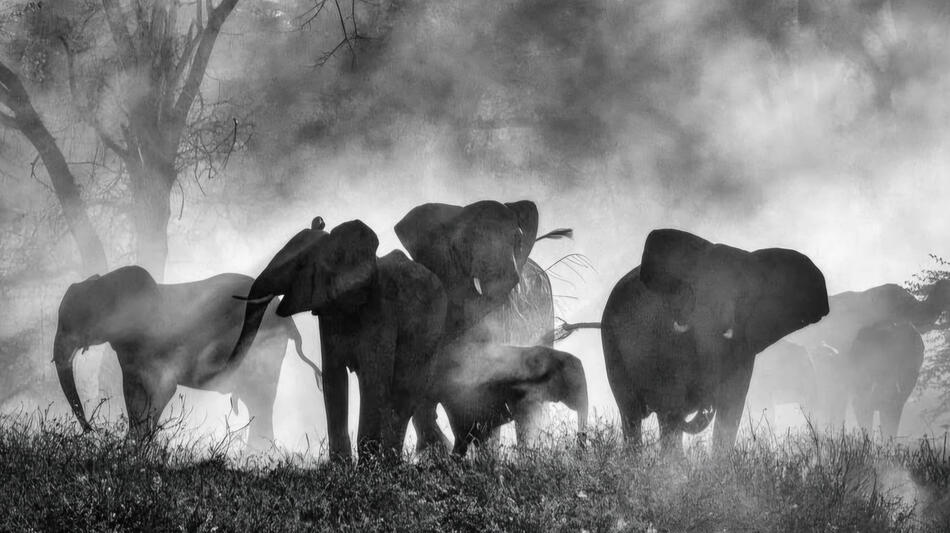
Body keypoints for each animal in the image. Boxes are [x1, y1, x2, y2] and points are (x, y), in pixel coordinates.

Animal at [53, 265, 319, 448]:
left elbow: (162, 390)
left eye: (76, 321)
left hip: (264, 348)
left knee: (260, 400)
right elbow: (132, 394)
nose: (91, 430)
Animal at [224, 217, 447, 462]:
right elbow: (333, 378)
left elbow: (374, 378)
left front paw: (367, 467)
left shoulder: (381, 310)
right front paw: (340, 465)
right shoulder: (328, 312)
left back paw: (391, 462)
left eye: (301, 265)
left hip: (431, 334)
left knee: (405, 393)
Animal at [601, 229, 829, 454]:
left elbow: (731, 407)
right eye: (693, 290)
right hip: (611, 345)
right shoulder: (666, 340)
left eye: (743, 297)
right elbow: (671, 404)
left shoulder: (744, 347)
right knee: (631, 414)